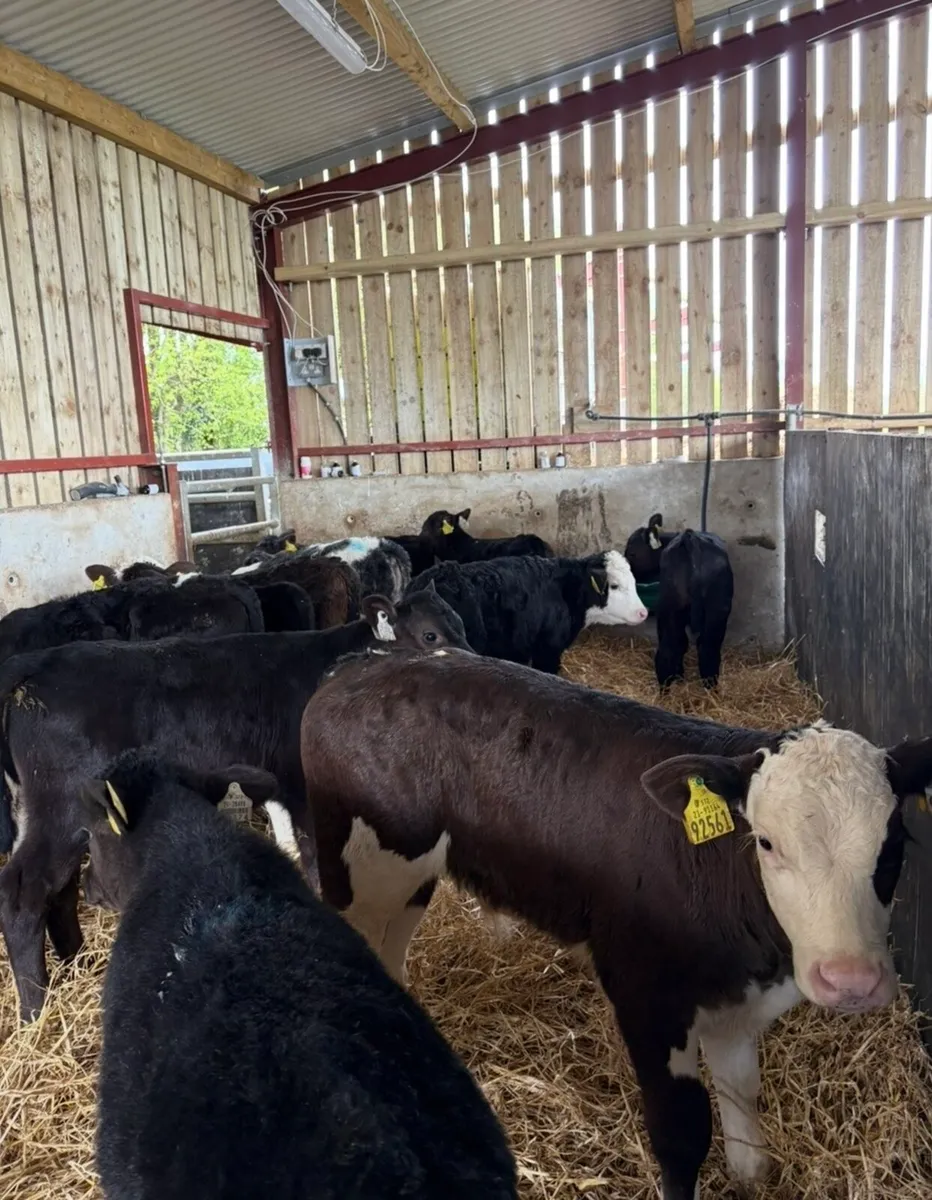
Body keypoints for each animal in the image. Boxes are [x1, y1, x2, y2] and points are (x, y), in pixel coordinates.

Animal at [0, 587, 470, 1019]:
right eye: (430, 635)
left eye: (461, 624)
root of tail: (33, 668)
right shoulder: (310, 796)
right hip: (59, 809)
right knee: (24, 893)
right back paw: (36, 1010)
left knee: (58, 890)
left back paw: (75, 968)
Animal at [300, 648, 932, 1200]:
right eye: (768, 842)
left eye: (895, 843)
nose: (850, 981)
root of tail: (361, 665)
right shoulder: (645, 997)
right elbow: (681, 1132)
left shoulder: (736, 1002)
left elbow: (744, 1106)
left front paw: (751, 1173)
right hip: (357, 869)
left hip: (413, 878)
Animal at [624, 512, 734, 689]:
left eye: (632, 553)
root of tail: (690, 538)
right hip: (717, 610)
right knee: (706, 648)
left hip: (670, 609)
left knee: (672, 647)